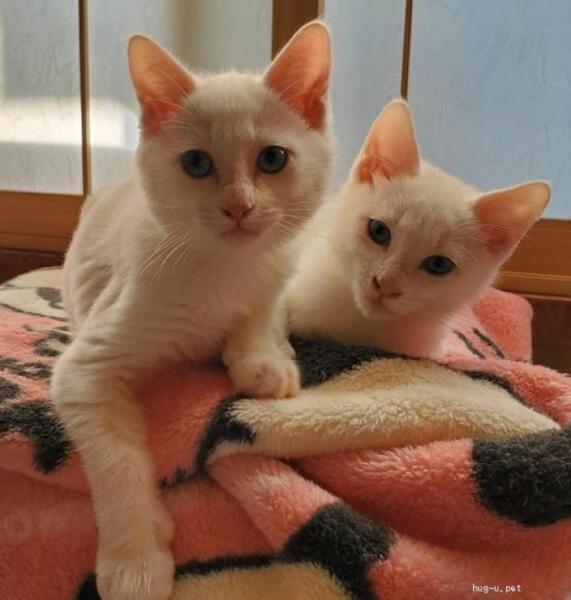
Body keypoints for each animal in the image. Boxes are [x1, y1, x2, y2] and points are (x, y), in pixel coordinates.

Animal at [51, 22, 333, 600]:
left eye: (273, 159)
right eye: (197, 163)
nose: (239, 206)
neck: (226, 269)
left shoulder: (277, 270)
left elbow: (262, 313)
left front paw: (264, 360)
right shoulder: (85, 370)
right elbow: (115, 459)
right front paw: (134, 560)